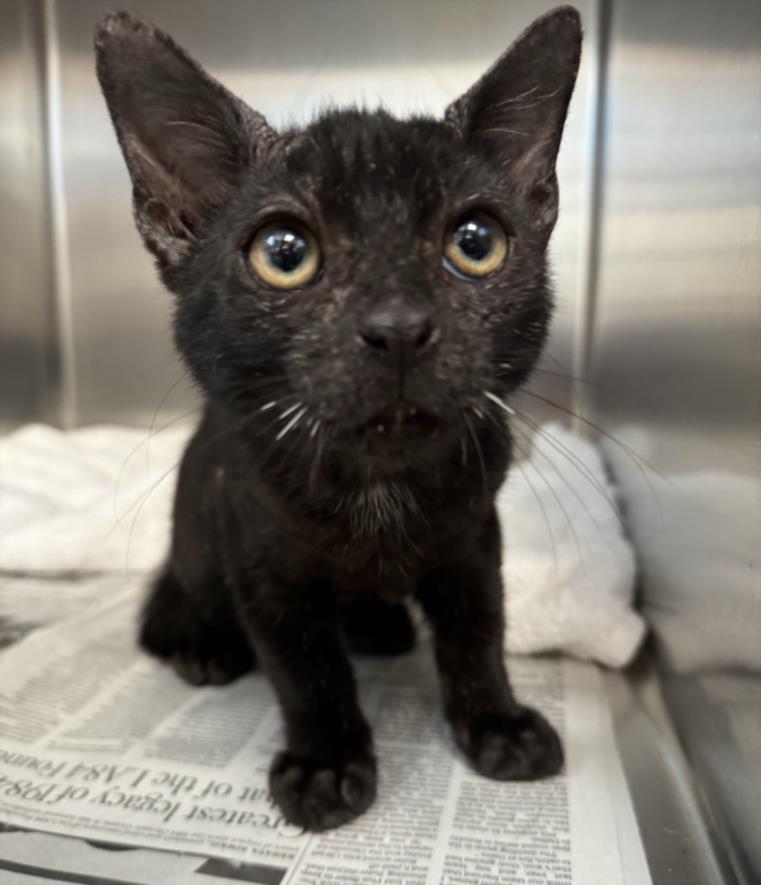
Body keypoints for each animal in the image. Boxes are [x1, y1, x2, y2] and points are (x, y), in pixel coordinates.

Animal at [95, 8, 580, 828]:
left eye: (476, 243)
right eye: (284, 252)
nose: (398, 326)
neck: (377, 486)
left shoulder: (474, 539)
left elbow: (479, 635)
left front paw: (497, 723)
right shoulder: (263, 564)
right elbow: (306, 669)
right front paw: (325, 764)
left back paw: (380, 626)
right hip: (195, 542)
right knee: (172, 605)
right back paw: (205, 646)